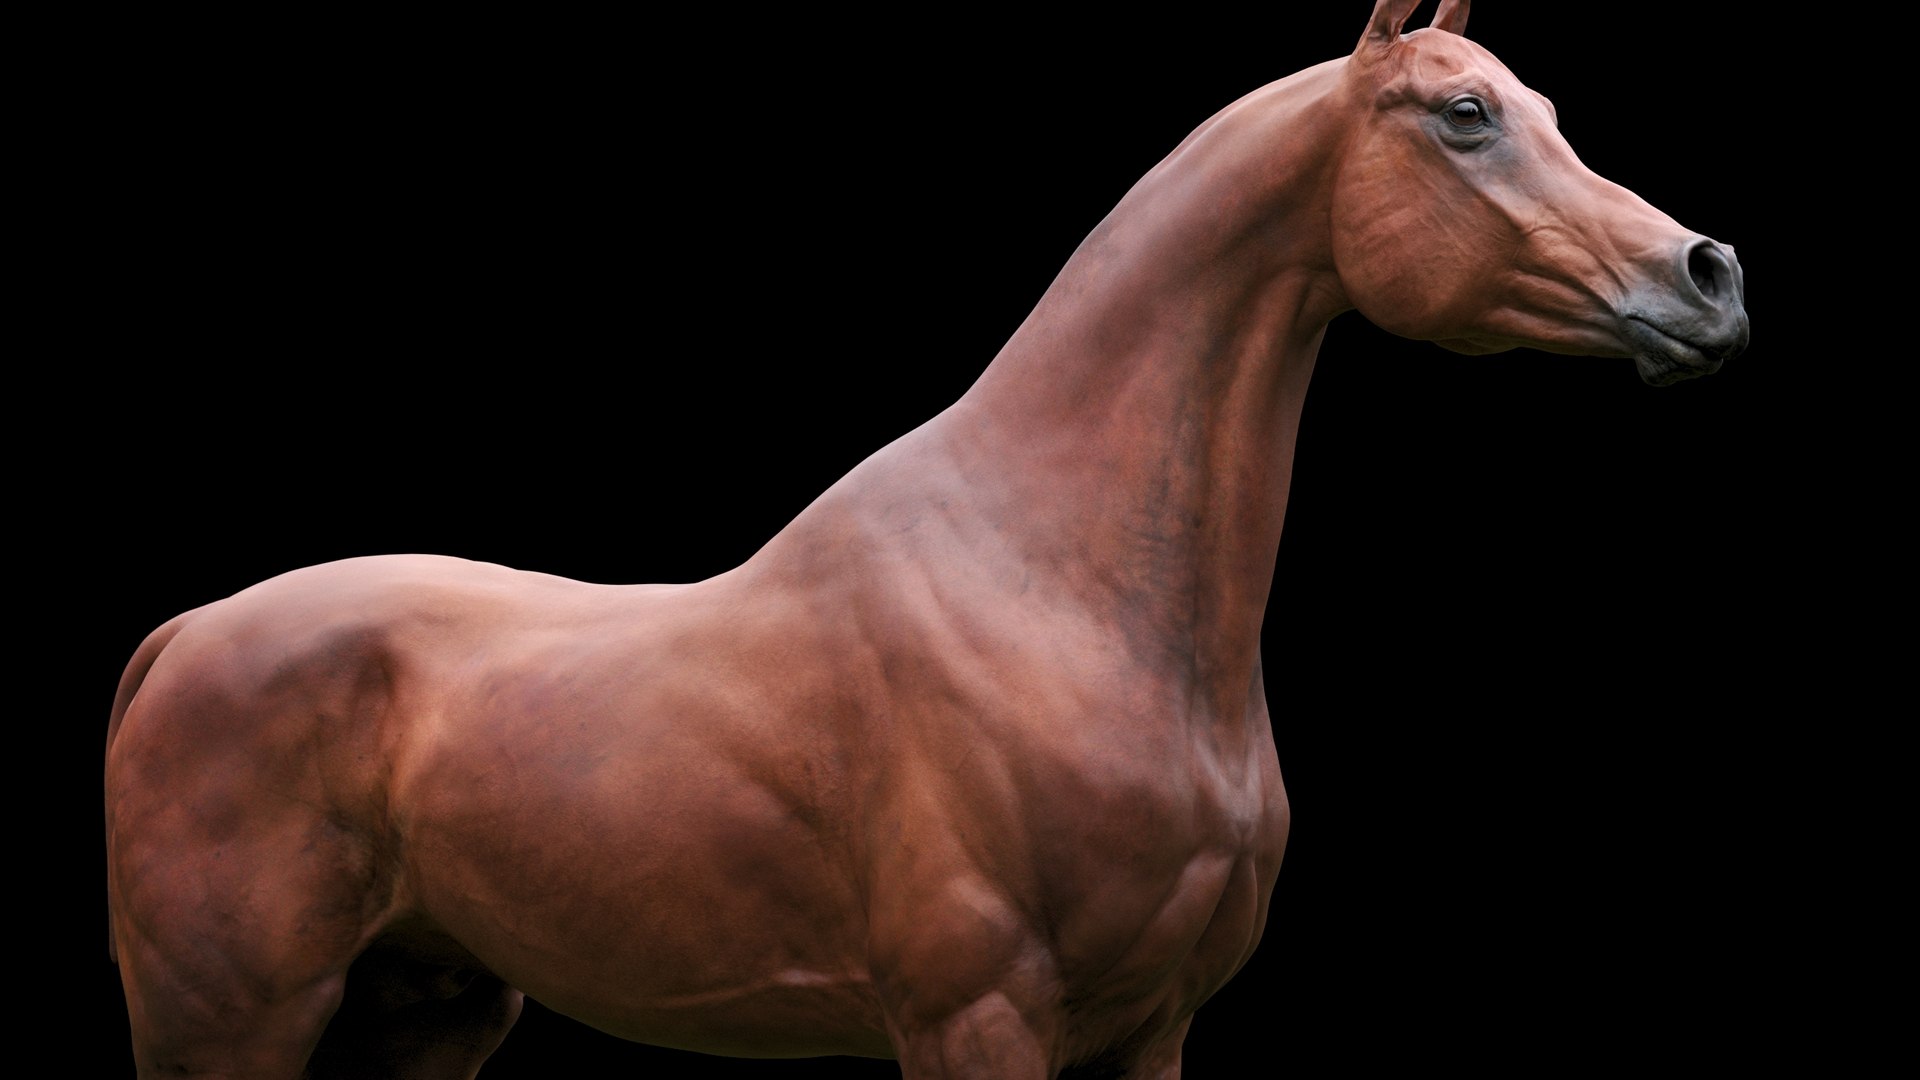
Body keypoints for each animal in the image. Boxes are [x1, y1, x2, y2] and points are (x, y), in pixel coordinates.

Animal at [103, 2, 1749, 1075]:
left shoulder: (1154, 1032)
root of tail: (182, 636)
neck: (1059, 589)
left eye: (1548, 111)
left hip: (428, 1011)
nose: (1708, 277)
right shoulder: (980, 1017)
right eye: (1466, 117)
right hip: (228, 1028)